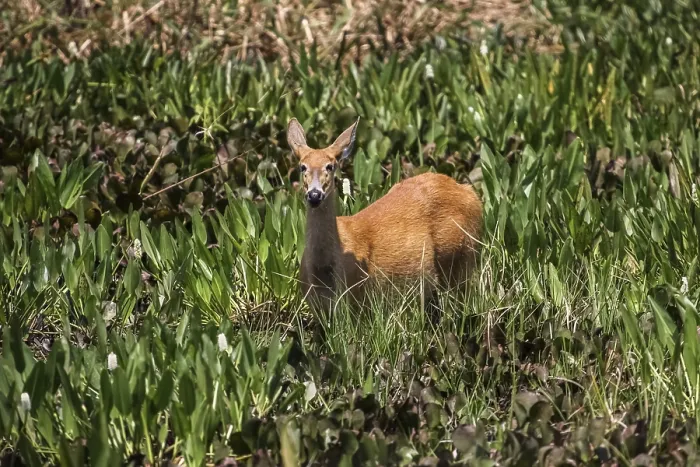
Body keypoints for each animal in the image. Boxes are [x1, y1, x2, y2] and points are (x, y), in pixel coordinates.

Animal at [287, 117, 483, 323]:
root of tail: (470, 192)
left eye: (330, 166)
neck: (323, 271)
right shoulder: (319, 310)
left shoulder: (359, 303)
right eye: (302, 166)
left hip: (462, 258)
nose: (315, 195)